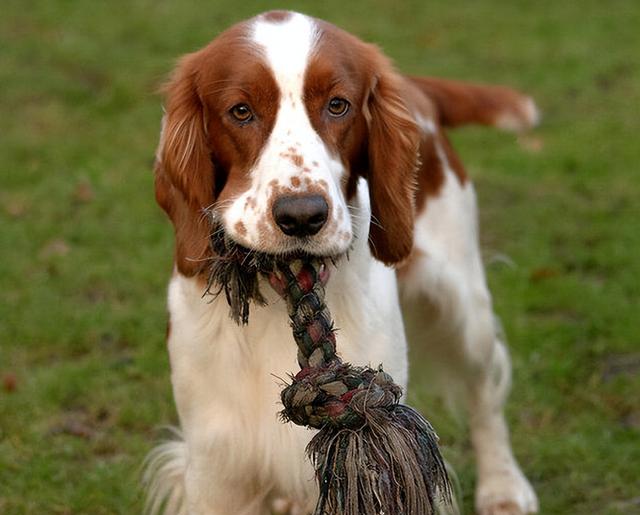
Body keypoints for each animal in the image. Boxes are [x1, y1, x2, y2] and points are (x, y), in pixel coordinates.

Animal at [149, 9, 540, 515]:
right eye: (240, 111)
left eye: (338, 105)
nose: (301, 217)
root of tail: (415, 88)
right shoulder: (217, 465)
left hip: (461, 303)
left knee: (484, 389)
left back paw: (503, 485)